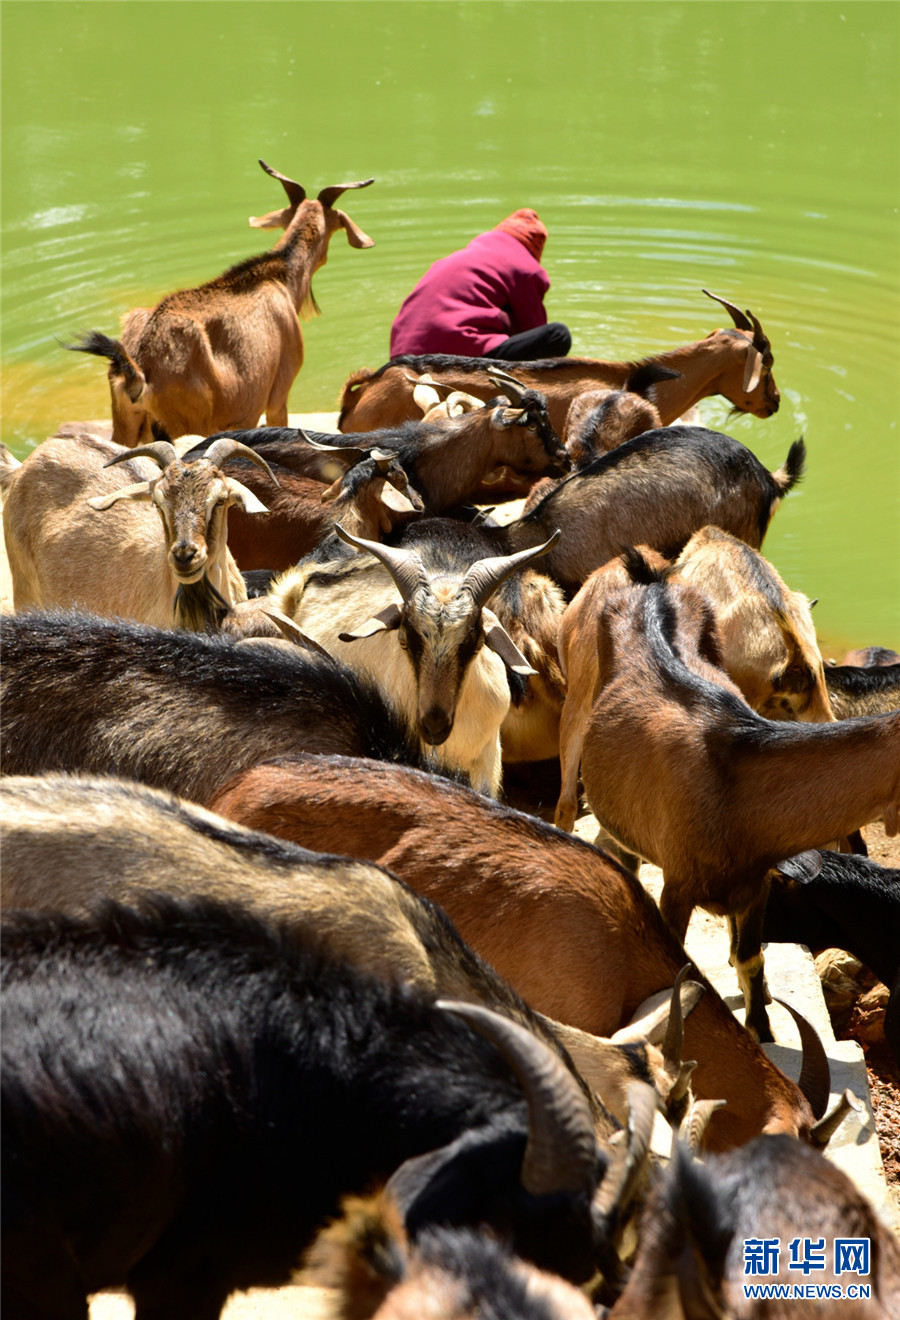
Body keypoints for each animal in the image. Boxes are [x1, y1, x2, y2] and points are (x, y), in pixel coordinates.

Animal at [577, 563, 900, 1042]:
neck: (736, 794)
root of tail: (651, 582)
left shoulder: (756, 884)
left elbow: (751, 956)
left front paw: (761, 1030)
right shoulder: (677, 882)